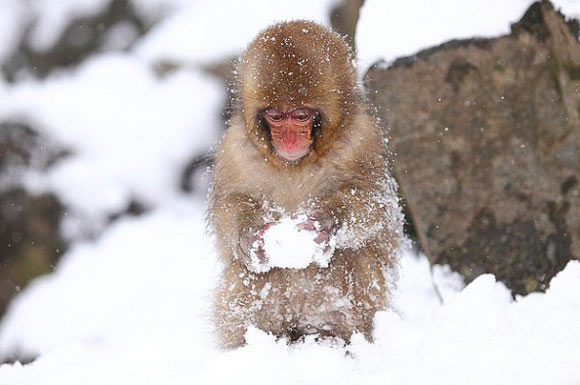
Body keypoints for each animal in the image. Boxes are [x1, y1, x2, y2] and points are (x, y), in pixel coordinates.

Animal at [208, 19, 404, 346]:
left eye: (301, 115)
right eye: (275, 115)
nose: (288, 139)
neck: (294, 164)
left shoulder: (362, 141)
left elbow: (377, 205)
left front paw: (329, 219)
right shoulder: (234, 149)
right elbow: (229, 204)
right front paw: (248, 236)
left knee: (353, 258)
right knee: (247, 274)